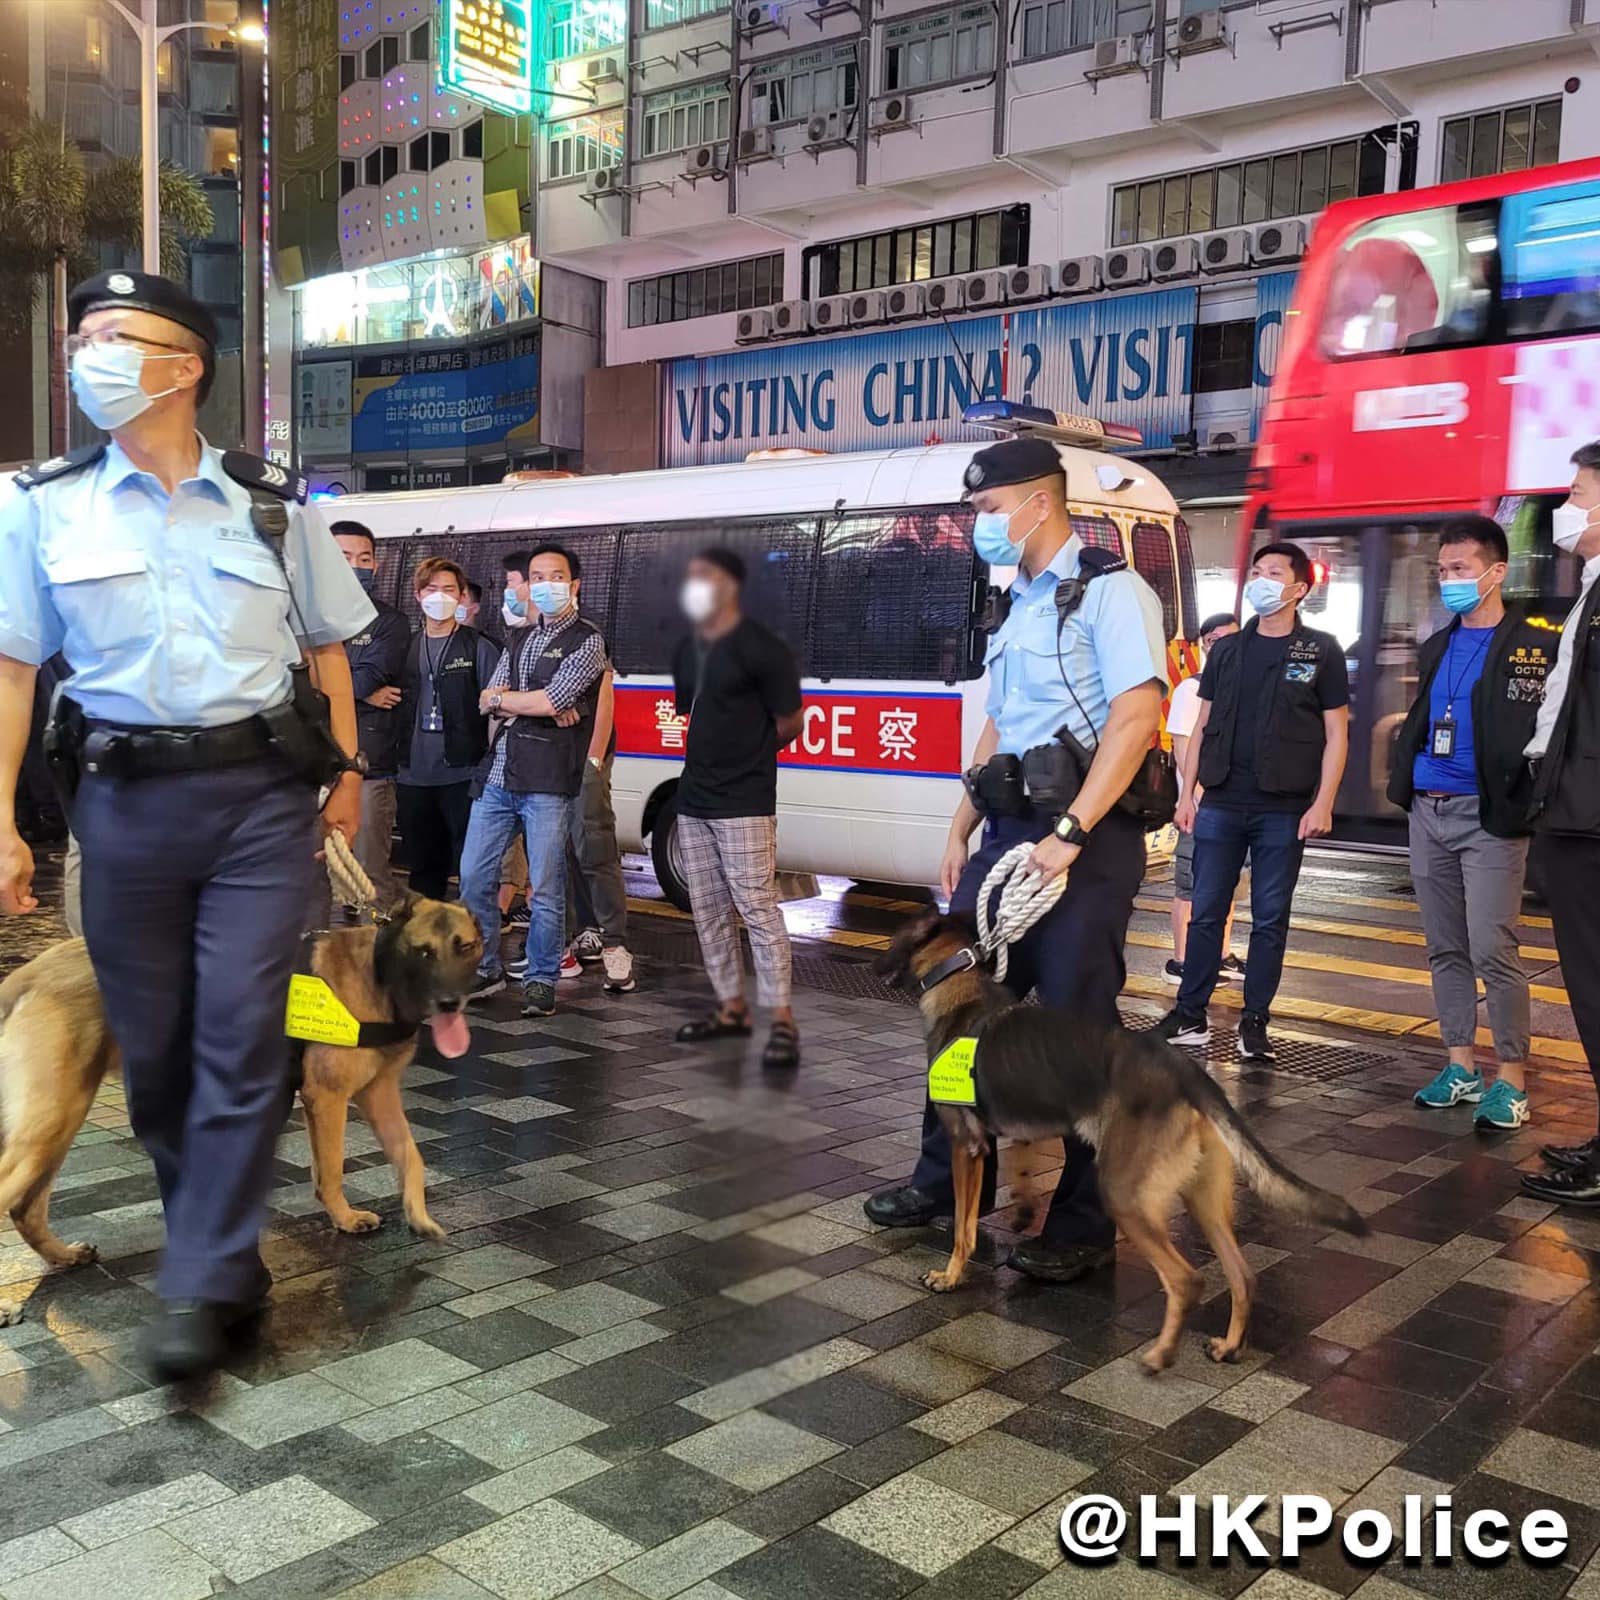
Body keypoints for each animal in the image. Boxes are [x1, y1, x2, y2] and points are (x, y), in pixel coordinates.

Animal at [0, 894, 482, 1323]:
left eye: (465, 946)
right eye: (423, 951)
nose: (450, 1003)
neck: (379, 971)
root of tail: (29, 973)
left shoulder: (379, 1094)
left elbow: (411, 1157)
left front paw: (419, 1216)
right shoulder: (328, 1097)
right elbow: (332, 1171)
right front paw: (344, 1217)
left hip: (61, 1121)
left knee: (26, 1208)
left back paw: (62, 1254)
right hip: (50, 1122)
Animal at [876, 908, 1366, 1372]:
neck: (960, 982)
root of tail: (1186, 1074)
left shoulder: (967, 1146)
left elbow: (963, 1227)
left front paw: (950, 1276)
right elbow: (1021, 1167)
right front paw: (1023, 1207)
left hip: (1125, 1195)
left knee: (1187, 1280)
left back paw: (1161, 1354)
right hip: (1202, 1199)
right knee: (1242, 1276)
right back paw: (1228, 1346)